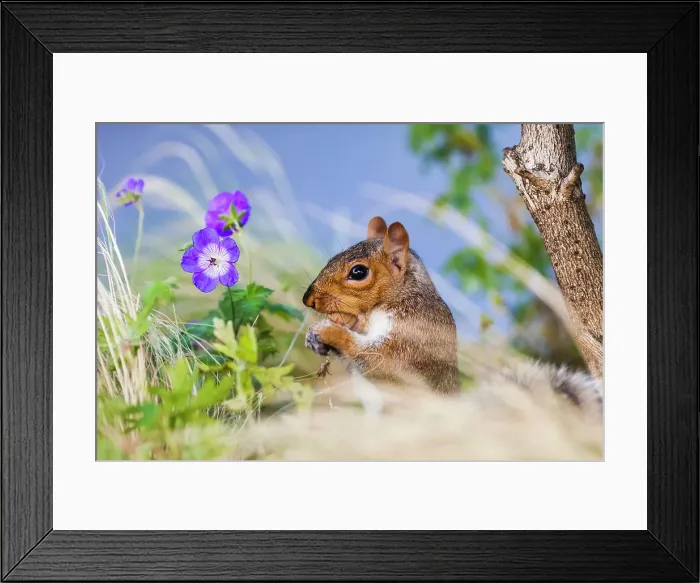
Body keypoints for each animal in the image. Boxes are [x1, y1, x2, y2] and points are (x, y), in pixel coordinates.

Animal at [303, 216, 460, 395]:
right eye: (332, 259)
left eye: (358, 272)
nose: (308, 299)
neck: (400, 295)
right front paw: (313, 338)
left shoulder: (413, 333)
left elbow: (379, 360)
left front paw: (327, 330)